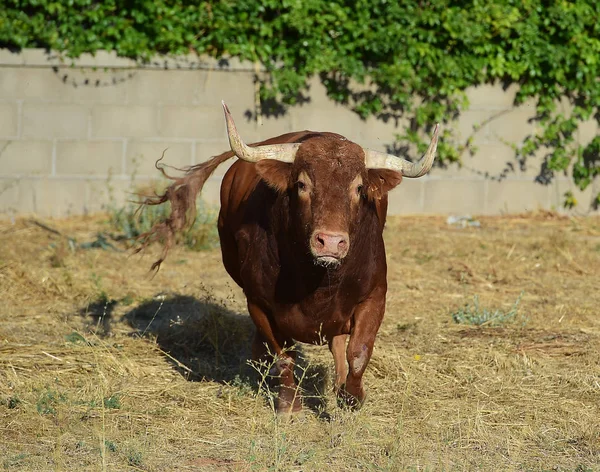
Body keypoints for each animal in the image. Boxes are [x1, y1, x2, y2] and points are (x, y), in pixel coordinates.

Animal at [141, 103, 440, 412]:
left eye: (358, 188)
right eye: (301, 185)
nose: (330, 242)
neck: (317, 282)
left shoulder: (375, 295)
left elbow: (357, 352)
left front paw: (351, 398)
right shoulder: (259, 304)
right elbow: (283, 355)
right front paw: (289, 407)